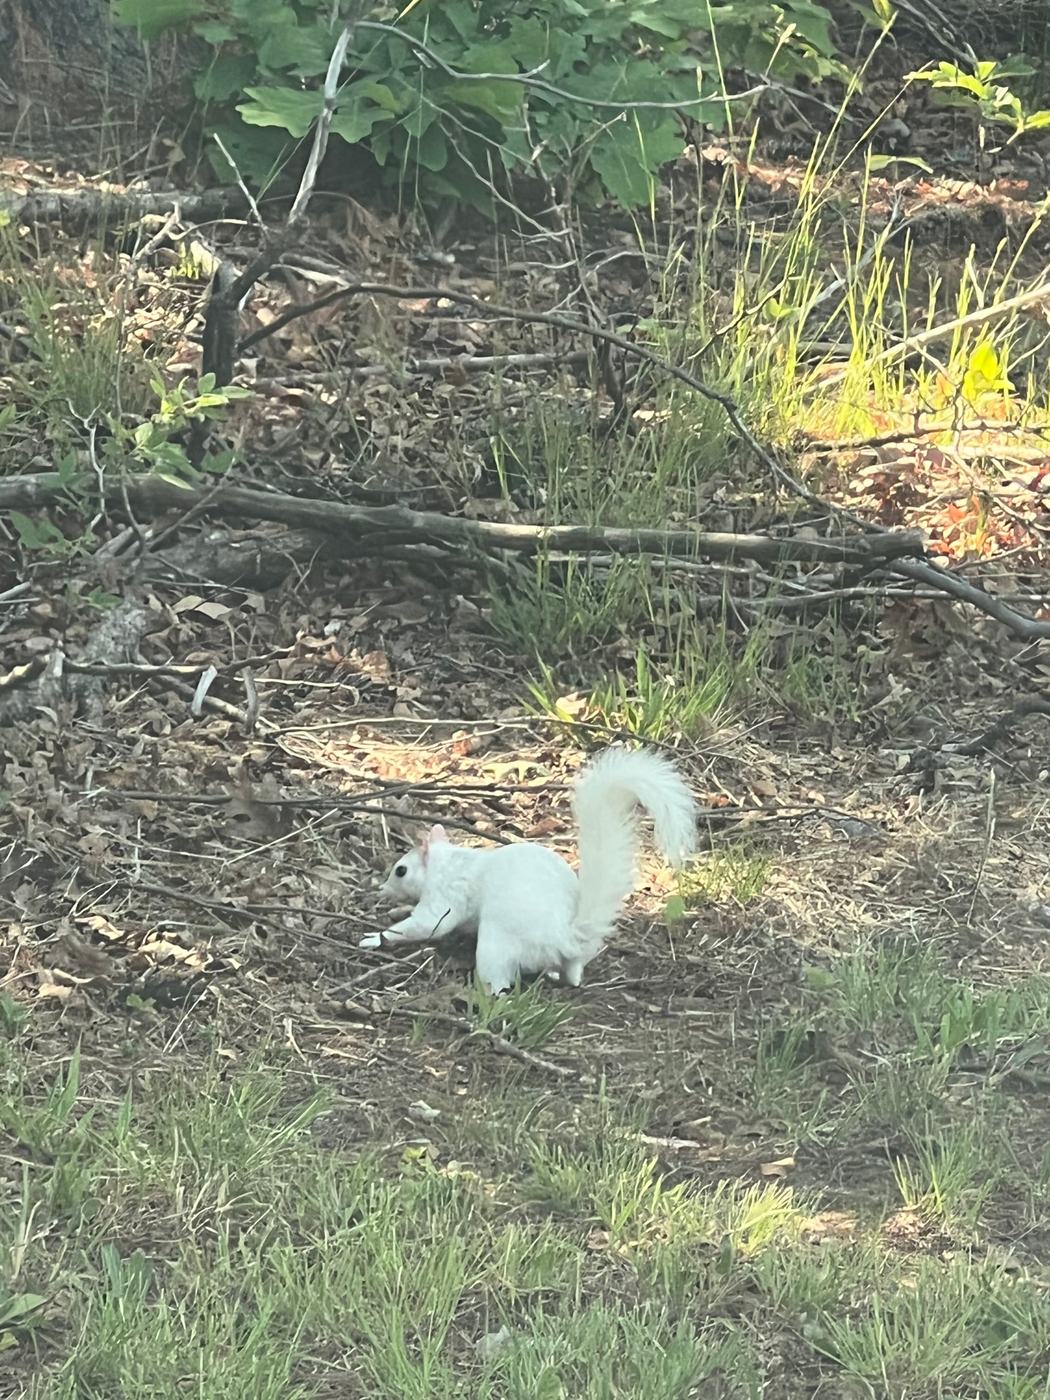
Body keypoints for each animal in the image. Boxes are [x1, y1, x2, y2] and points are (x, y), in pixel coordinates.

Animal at [359, 746, 697, 993]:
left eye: (401, 870)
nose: (382, 889)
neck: (449, 861)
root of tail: (565, 937)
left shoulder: (445, 895)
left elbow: (427, 925)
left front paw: (375, 937)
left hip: (497, 946)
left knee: (498, 980)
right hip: (565, 960)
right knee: (572, 974)